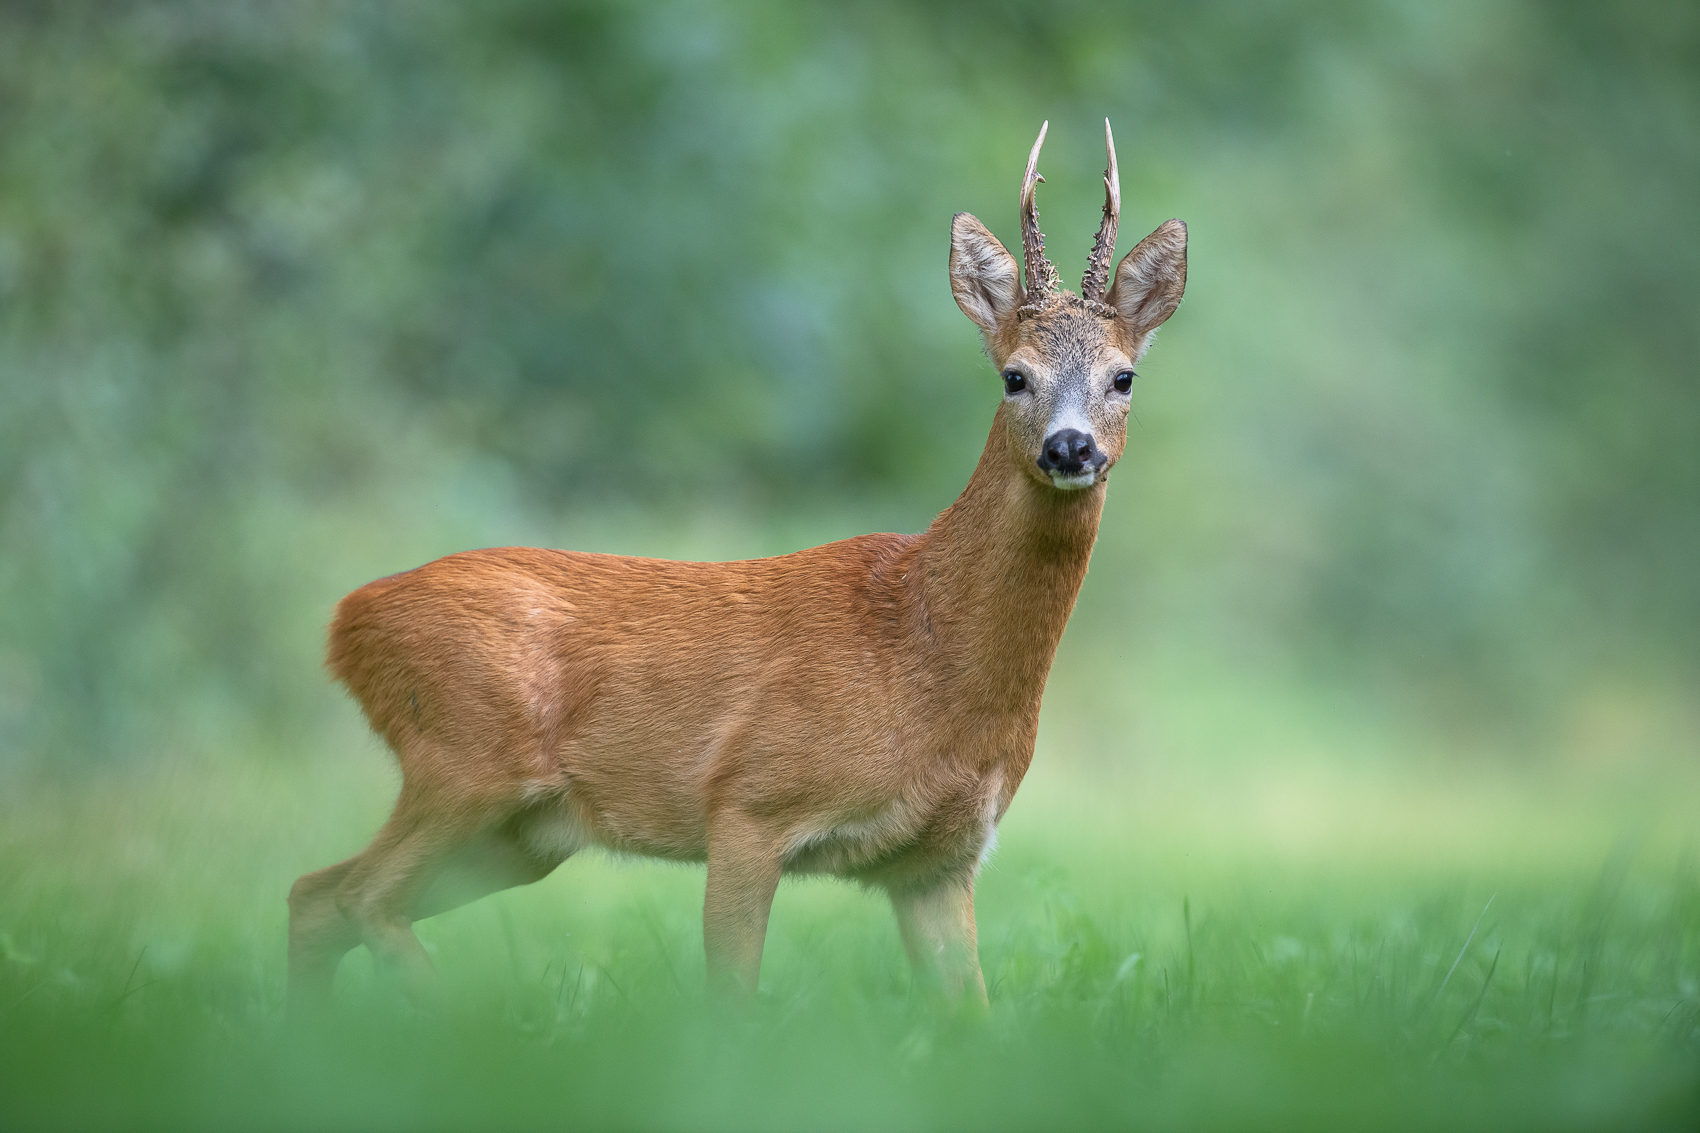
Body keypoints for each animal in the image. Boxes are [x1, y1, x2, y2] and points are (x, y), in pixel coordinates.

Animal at [285, 121, 1190, 1007]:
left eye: (1123, 377)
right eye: (1013, 376)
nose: (1068, 447)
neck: (924, 653)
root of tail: (343, 622)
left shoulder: (940, 860)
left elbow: (971, 1012)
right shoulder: (748, 802)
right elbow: (732, 997)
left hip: (523, 831)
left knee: (314, 893)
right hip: (463, 758)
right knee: (356, 895)